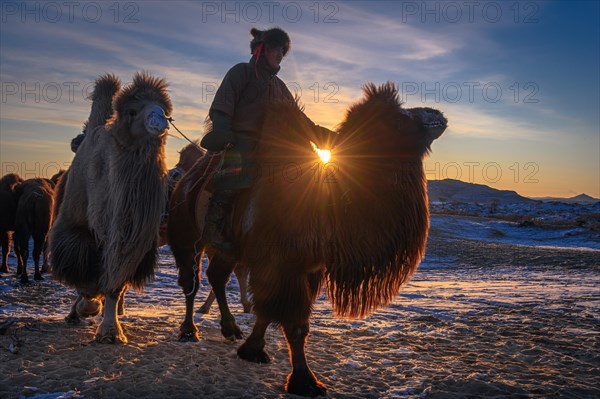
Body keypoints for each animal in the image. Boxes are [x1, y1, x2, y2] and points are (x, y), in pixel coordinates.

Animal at [49, 72, 172, 344]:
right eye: (133, 111)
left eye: (165, 109)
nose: (161, 119)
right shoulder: (85, 231)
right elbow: (86, 277)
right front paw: (90, 309)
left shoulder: (132, 244)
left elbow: (115, 283)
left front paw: (111, 330)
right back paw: (75, 313)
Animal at [169, 82, 446, 396]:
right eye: (397, 120)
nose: (435, 115)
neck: (325, 207)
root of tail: (185, 180)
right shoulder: (281, 264)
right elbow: (294, 323)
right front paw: (305, 380)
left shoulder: (306, 269)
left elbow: (272, 312)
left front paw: (252, 349)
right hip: (186, 234)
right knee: (190, 280)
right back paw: (189, 330)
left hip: (229, 249)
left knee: (216, 276)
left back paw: (230, 328)